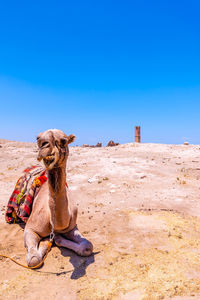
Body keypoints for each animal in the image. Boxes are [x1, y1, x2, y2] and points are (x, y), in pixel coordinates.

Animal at [24, 129, 93, 268]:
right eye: (38, 138)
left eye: (64, 140)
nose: (43, 146)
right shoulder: (30, 228)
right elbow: (34, 260)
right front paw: (47, 242)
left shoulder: (71, 227)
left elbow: (88, 246)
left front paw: (58, 239)